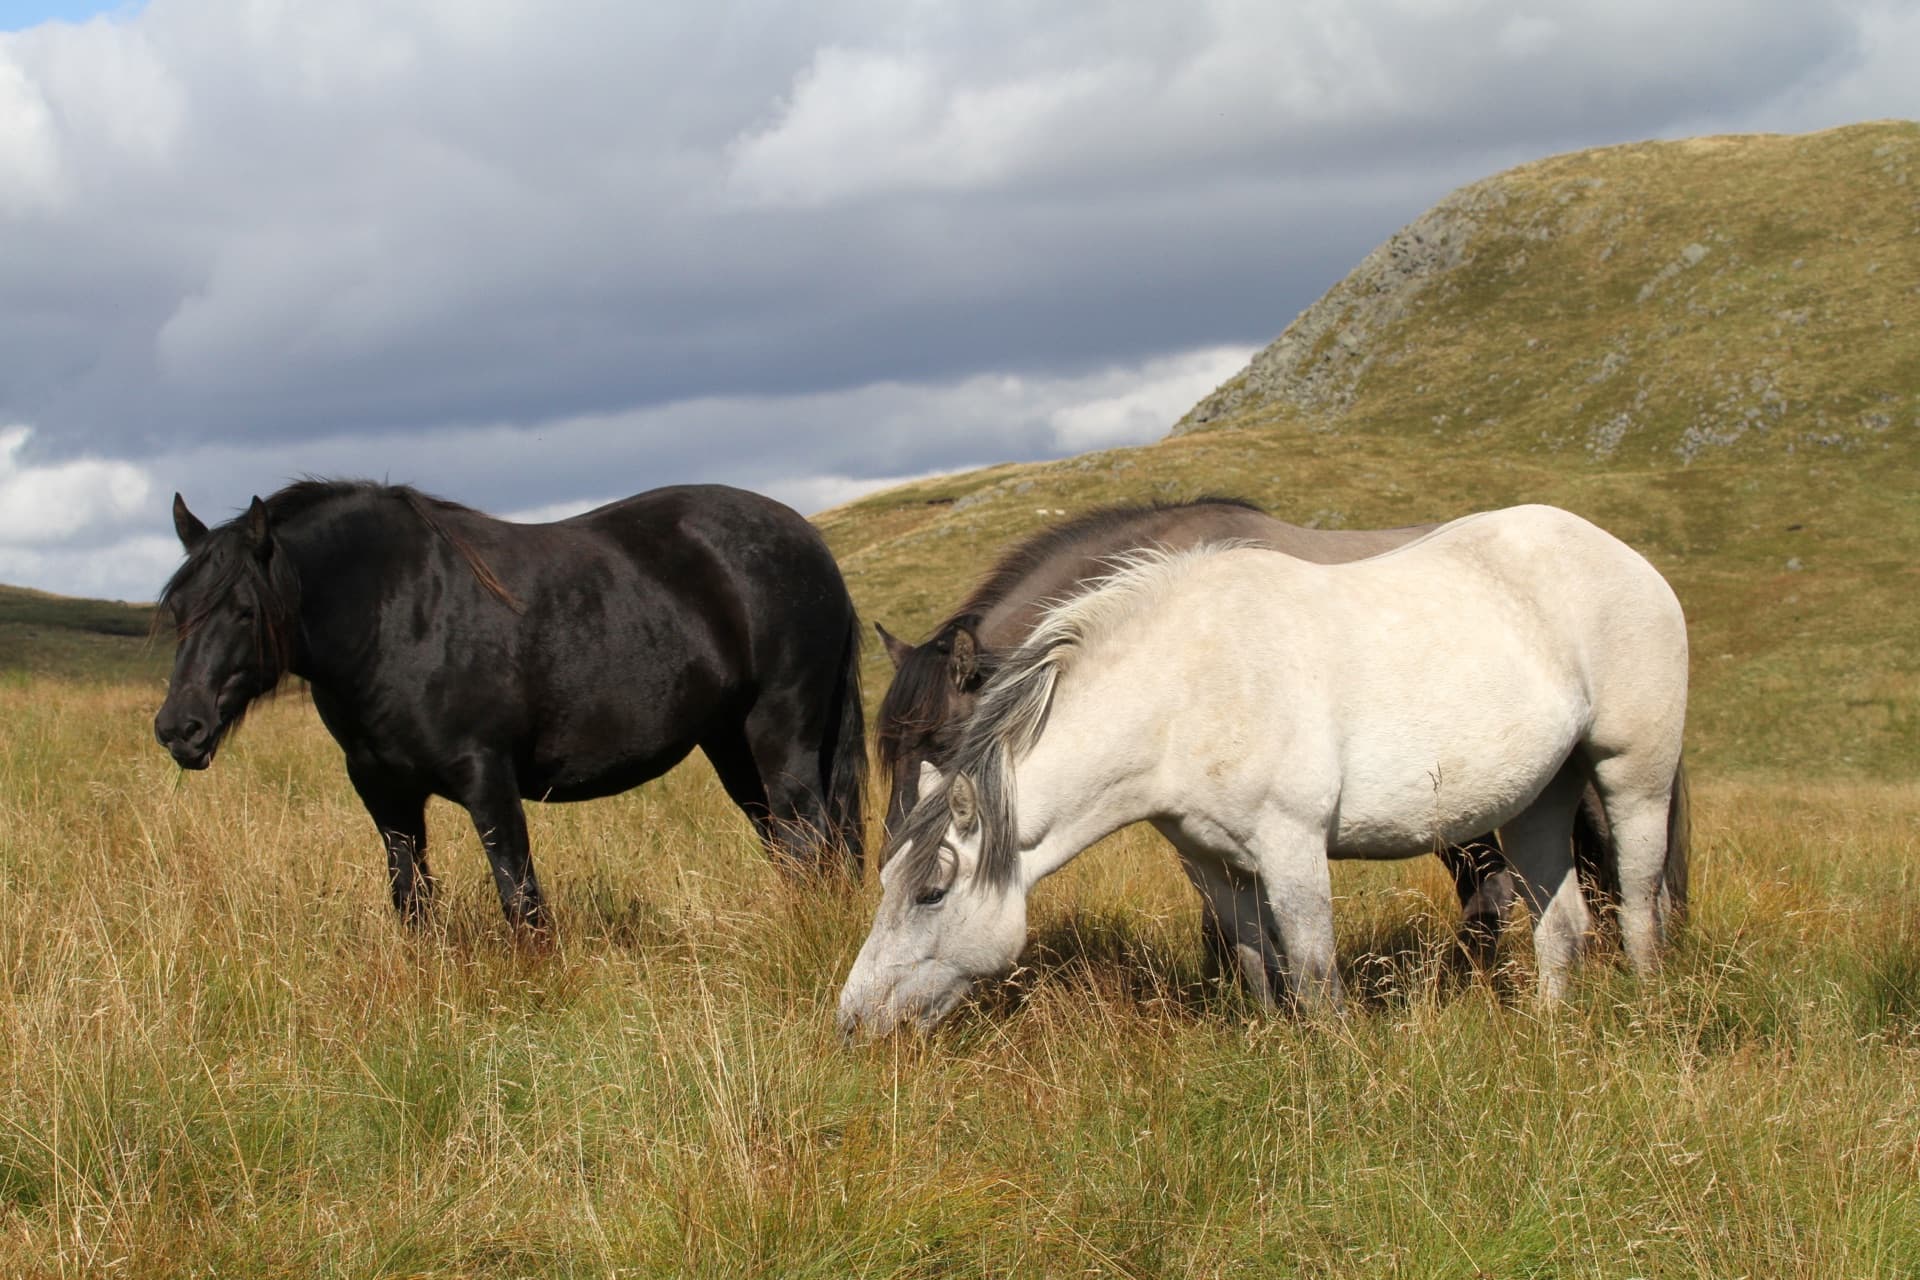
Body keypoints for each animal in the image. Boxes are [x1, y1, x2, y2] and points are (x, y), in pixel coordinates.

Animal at [155, 480, 866, 933]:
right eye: (179, 609)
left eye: (245, 611)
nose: (178, 728)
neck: (397, 616)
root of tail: (811, 543)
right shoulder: (385, 795)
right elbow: (412, 903)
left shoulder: (487, 779)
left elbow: (520, 900)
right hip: (730, 744)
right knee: (793, 846)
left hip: (781, 733)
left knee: (806, 839)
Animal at [839, 505, 1689, 1035]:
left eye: (932, 893)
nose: (852, 1020)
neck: (1183, 690)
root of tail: (1625, 556)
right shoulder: (1214, 864)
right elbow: (1255, 965)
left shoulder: (1293, 848)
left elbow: (1313, 978)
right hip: (1538, 797)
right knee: (1563, 925)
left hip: (1630, 777)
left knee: (1639, 906)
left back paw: (1648, 1015)